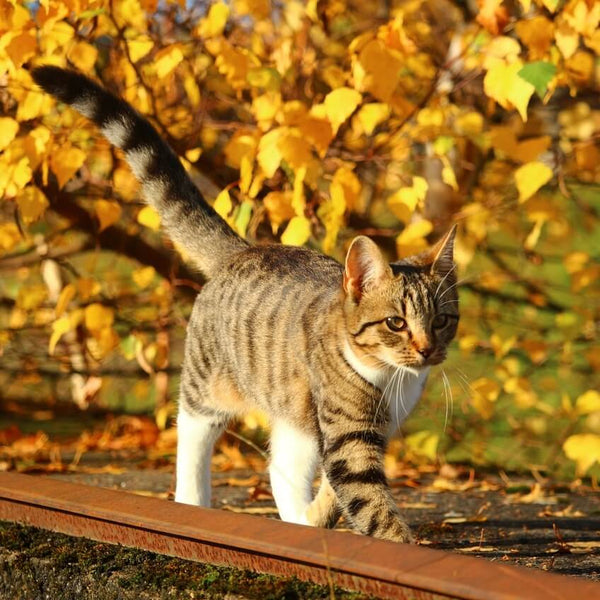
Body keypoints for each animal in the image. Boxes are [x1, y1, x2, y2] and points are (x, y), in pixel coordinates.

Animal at [32, 67, 460, 544]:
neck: (389, 377)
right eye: (395, 323)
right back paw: (192, 501)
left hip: (292, 408)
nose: (427, 350)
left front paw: (315, 520)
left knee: (281, 467)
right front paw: (401, 546)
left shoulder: (371, 429)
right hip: (209, 381)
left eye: (441, 321)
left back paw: (298, 524)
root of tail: (244, 249)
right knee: (193, 432)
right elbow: (369, 501)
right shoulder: (347, 435)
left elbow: (333, 491)